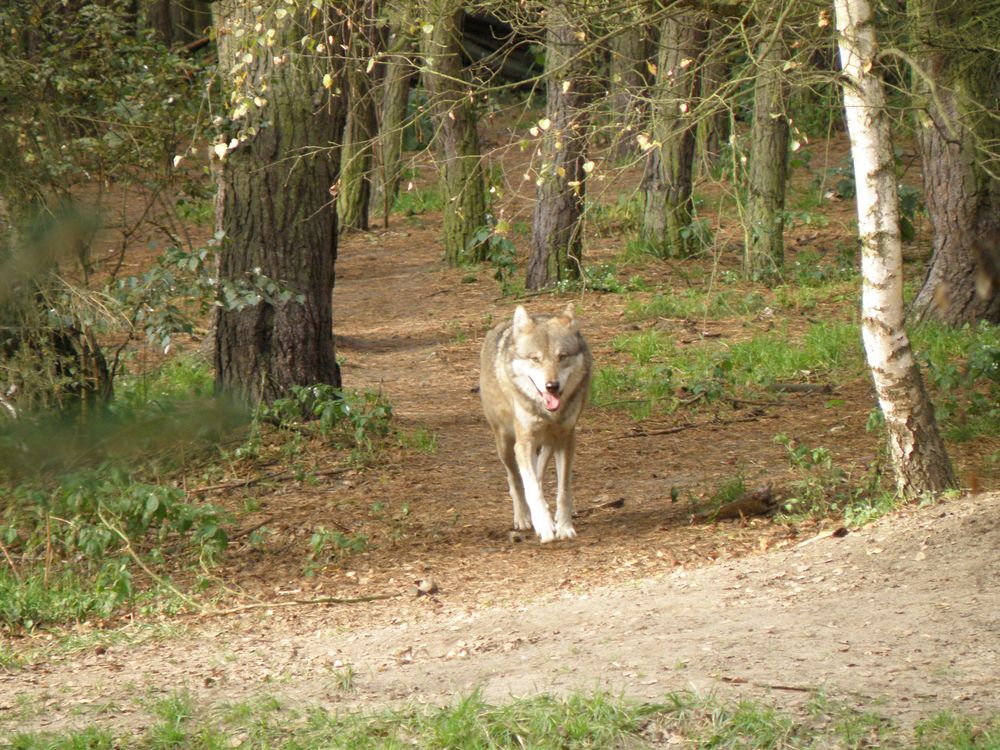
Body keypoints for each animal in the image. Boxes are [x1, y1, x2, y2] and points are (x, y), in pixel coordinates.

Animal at [478, 306, 588, 548]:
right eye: (535, 359)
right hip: (505, 444)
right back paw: (523, 517)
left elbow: (563, 489)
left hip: (547, 444)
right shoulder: (524, 443)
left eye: (562, 357)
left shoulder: (566, 439)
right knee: (516, 480)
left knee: (537, 474)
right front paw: (544, 527)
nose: (552, 386)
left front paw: (563, 526)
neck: (547, 413)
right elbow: (531, 490)